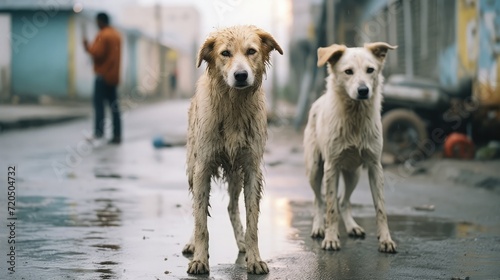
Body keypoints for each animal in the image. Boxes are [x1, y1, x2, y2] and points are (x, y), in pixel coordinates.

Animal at [182, 25, 284, 274]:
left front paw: (254, 258)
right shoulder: (203, 167)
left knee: (231, 207)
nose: (240, 75)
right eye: (225, 53)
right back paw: (191, 243)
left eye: (251, 51)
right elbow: (200, 220)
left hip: (236, 174)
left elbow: (252, 220)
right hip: (192, 167)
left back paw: (242, 242)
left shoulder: (251, 168)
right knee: (196, 207)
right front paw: (199, 259)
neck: (234, 106)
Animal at [302, 42, 396, 254]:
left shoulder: (375, 166)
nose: (363, 90)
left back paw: (352, 227)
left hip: (354, 174)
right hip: (315, 169)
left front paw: (386, 240)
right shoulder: (331, 166)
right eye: (348, 72)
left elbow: (381, 208)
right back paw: (319, 227)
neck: (355, 116)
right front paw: (330, 238)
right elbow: (330, 207)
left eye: (370, 70)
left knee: (343, 202)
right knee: (319, 200)